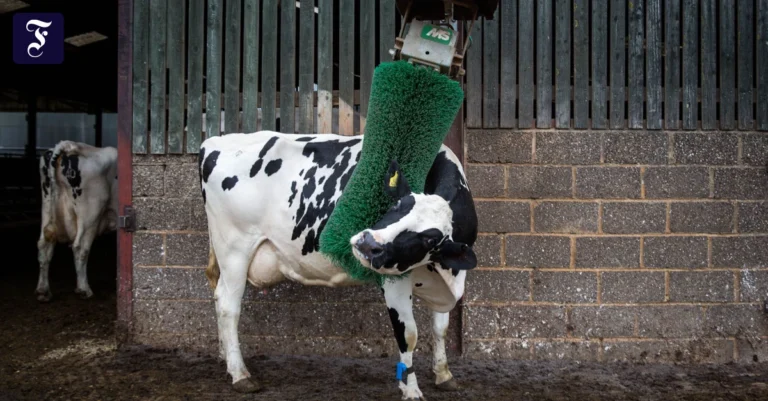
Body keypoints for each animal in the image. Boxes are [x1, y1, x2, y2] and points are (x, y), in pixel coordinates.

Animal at [36, 140, 118, 302]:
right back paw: (84, 289)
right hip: (90, 215)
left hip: (47, 207)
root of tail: (69, 146)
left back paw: (43, 291)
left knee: (44, 245)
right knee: (80, 248)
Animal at [199, 131, 478, 400]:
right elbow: (408, 334)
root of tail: (214, 141)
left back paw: (226, 357)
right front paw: (411, 389)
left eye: (430, 239)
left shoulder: (448, 277)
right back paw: (240, 374)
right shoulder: (392, 279)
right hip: (234, 249)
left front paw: (443, 374)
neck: (442, 274)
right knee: (228, 306)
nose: (368, 242)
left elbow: (440, 327)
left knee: (218, 299)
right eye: (398, 204)